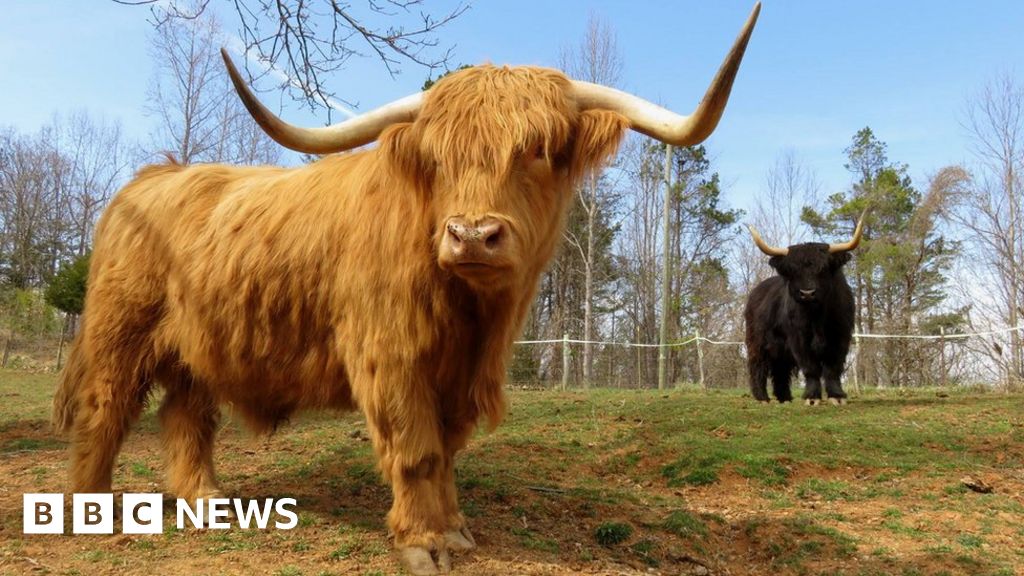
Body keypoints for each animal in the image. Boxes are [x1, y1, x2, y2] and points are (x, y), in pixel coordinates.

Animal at [745, 216, 864, 403]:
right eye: (792, 270)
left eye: (823, 269)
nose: (807, 293)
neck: (817, 317)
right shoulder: (798, 338)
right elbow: (810, 367)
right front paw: (812, 397)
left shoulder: (841, 336)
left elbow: (833, 367)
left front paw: (837, 396)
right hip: (757, 341)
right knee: (758, 365)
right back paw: (762, 397)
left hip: (780, 348)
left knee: (780, 369)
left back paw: (785, 398)